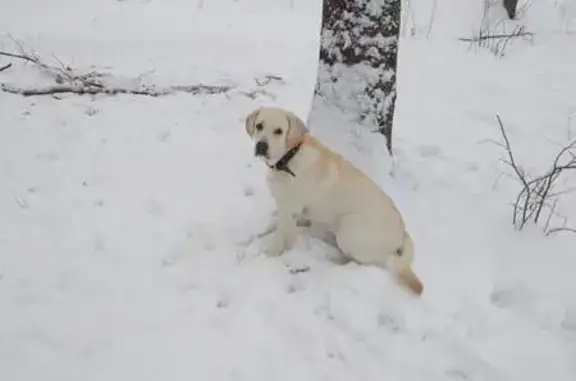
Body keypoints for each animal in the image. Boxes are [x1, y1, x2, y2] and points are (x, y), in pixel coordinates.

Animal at [243, 106, 424, 294]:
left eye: (278, 131)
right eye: (259, 126)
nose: (261, 145)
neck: (289, 158)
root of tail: (403, 233)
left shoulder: (289, 209)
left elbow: (279, 238)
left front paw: (269, 255)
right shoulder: (288, 209)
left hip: (350, 227)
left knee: (362, 261)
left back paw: (334, 261)